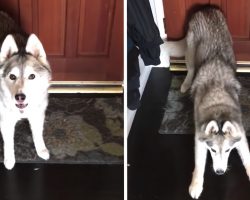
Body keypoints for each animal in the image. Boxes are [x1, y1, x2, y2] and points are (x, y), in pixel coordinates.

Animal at [0, 11, 51, 170]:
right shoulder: (5, 120)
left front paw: (41, 150)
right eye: (12, 76)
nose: (20, 97)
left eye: (32, 76)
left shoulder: (37, 115)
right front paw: (9, 159)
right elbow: (8, 142)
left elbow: (38, 134)